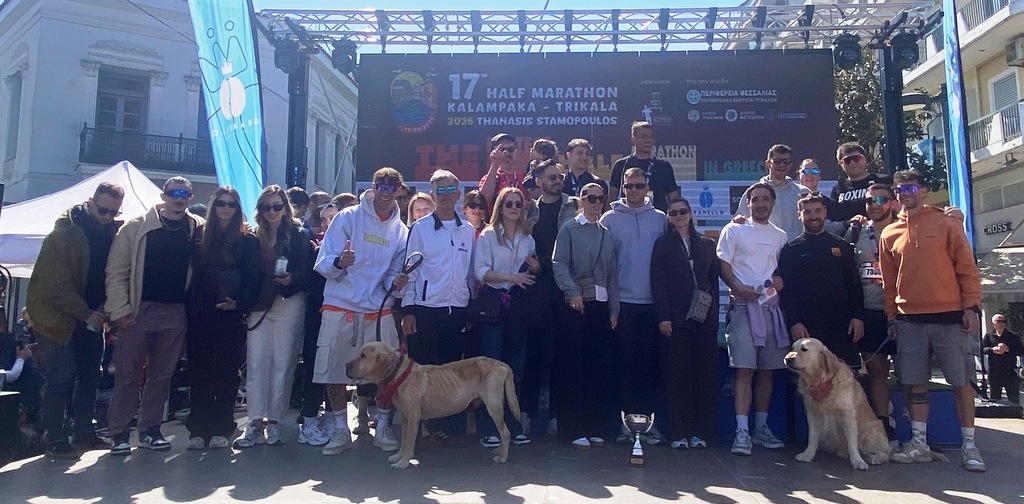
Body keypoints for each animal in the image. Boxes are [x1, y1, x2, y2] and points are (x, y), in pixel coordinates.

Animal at [346, 342, 521, 469]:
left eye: (363, 355)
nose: (346, 365)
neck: (399, 374)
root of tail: (501, 363)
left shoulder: (414, 417)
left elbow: (409, 442)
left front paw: (403, 462)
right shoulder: (405, 417)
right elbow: (403, 439)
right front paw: (398, 456)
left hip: (493, 406)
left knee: (505, 433)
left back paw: (503, 456)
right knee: (503, 432)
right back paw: (499, 450)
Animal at [784, 338, 890, 470]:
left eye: (804, 349)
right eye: (792, 348)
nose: (787, 359)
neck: (821, 382)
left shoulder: (847, 415)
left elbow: (852, 442)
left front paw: (858, 461)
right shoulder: (812, 414)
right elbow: (812, 438)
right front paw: (807, 455)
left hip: (870, 434)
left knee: (886, 454)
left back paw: (874, 458)